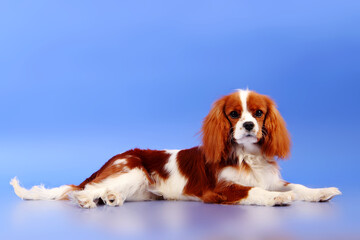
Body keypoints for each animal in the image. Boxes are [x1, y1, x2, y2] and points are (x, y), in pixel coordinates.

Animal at [9, 89, 340, 207]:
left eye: (258, 113)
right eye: (234, 114)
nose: (248, 125)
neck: (248, 155)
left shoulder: (272, 178)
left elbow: (296, 186)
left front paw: (320, 192)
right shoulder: (218, 190)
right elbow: (255, 191)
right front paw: (275, 199)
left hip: (140, 188)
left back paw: (111, 198)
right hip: (134, 170)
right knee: (82, 191)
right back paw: (91, 200)